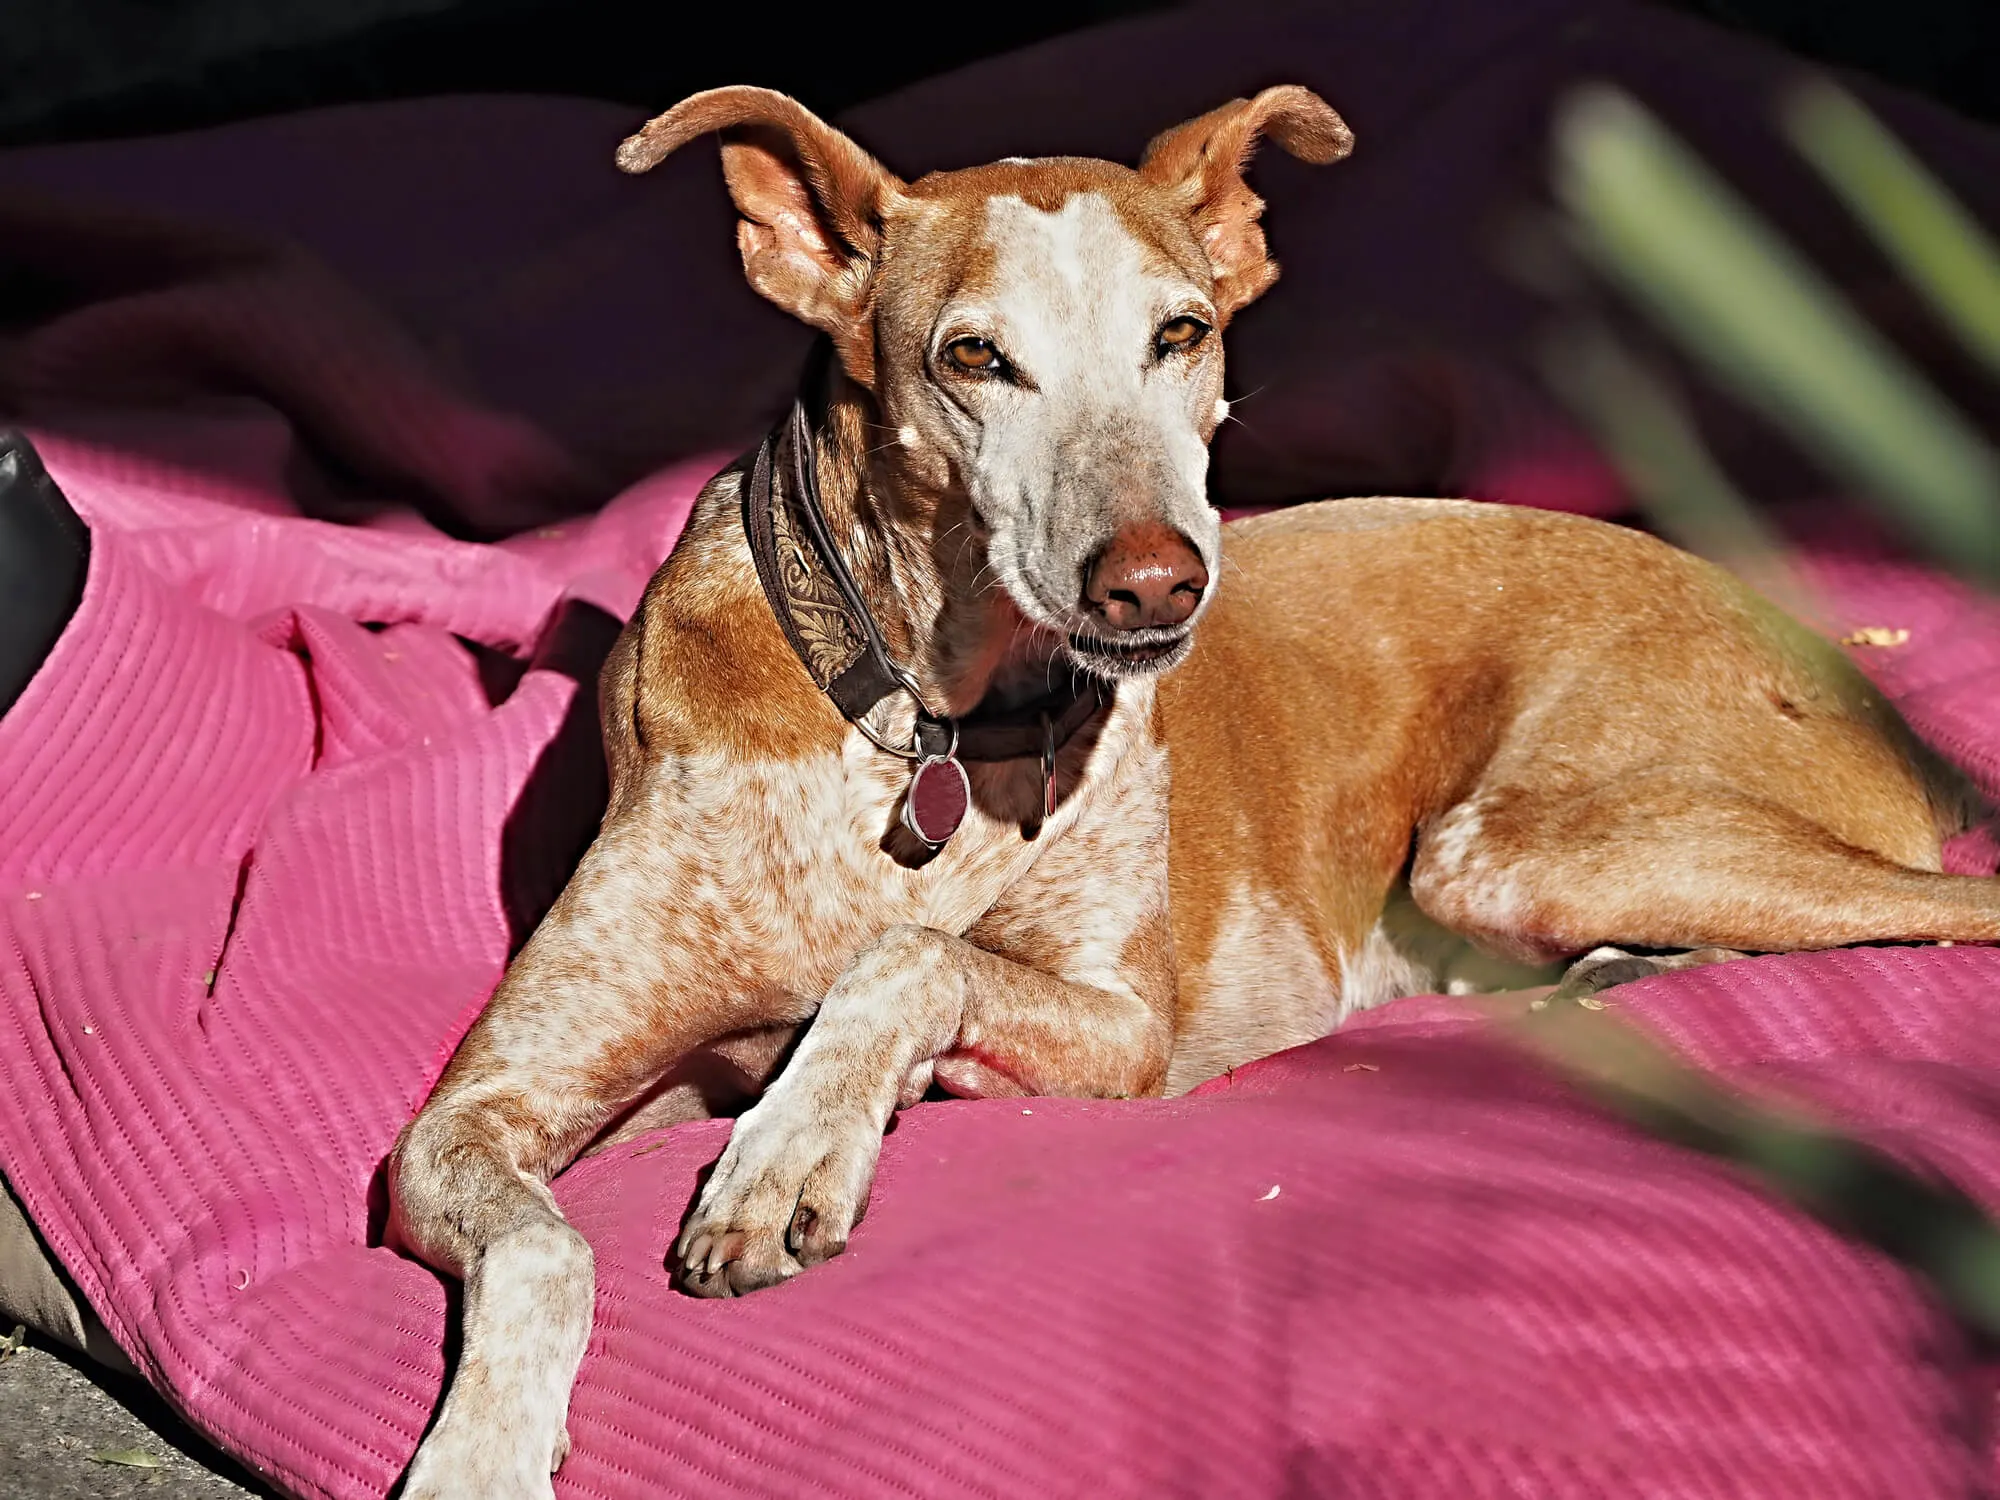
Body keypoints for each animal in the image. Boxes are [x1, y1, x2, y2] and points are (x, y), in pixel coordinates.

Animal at [382, 88, 1992, 1496]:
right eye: (974, 358)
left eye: (1183, 334)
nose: (1155, 580)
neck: (922, 724)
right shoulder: (473, 1116)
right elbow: (544, 1242)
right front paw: (478, 1456)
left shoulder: (1123, 1032)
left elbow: (913, 961)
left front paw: (793, 1146)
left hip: (1513, 848)